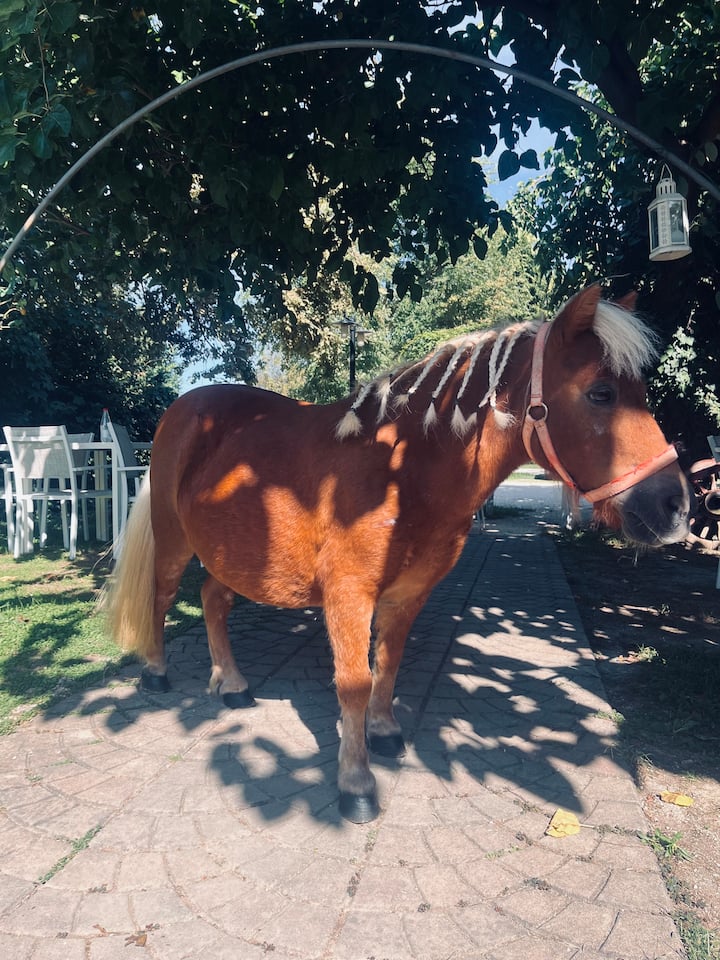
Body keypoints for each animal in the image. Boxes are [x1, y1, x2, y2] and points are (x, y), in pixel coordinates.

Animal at [107, 284, 692, 823]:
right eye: (601, 393)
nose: (675, 507)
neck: (402, 468)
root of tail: (181, 410)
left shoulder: (409, 594)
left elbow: (387, 666)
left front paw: (385, 732)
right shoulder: (348, 595)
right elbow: (354, 684)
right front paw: (356, 784)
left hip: (236, 554)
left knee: (213, 600)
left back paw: (231, 684)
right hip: (175, 541)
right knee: (162, 596)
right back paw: (156, 673)